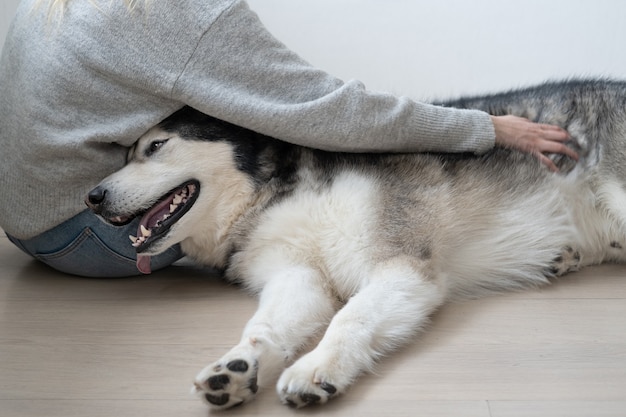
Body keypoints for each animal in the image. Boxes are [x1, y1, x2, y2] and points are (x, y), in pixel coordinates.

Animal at [86, 79, 624, 408]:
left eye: (156, 146)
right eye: (127, 154)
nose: (92, 197)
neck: (273, 190)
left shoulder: (403, 266)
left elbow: (350, 317)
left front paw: (316, 367)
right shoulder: (296, 274)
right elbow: (266, 325)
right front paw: (239, 365)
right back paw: (567, 256)